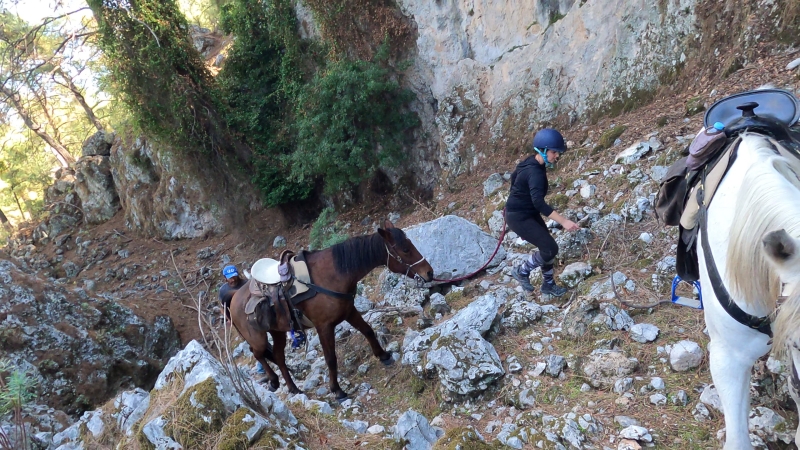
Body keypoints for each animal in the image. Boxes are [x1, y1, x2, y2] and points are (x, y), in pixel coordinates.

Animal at [228, 220, 434, 400]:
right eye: (405, 249)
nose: (429, 273)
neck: (331, 275)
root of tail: (233, 299)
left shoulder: (349, 312)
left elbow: (368, 330)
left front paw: (384, 356)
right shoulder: (324, 327)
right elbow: (330, 358)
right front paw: (337, 391)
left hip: (277, 332)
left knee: (278, 356)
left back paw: (294, 388)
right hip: (259, 337)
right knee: (258, 353)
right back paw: (273, 380)